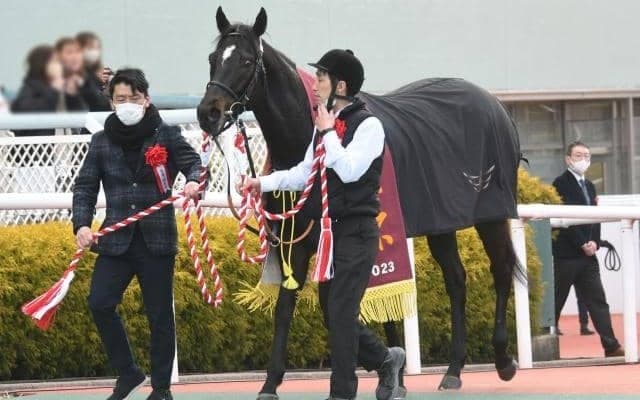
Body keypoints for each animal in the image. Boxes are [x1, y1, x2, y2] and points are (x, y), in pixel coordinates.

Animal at [197, 6, 524, 396]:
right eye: (213, 59)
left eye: (246, 61)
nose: (208, 113)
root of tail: (497, 107)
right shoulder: (296, 242)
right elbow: (287, 307)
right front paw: (271, 382)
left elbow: (354, 306)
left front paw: (389, 372)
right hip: (441, 222)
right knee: (456, 280)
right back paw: (454, 369)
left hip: (491, 214)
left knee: (501, 269)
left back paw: (503, 361)